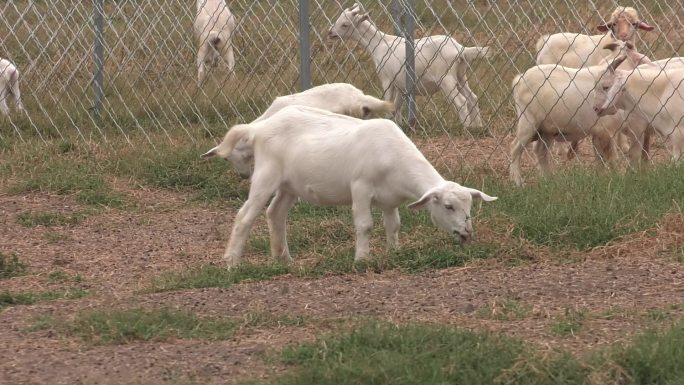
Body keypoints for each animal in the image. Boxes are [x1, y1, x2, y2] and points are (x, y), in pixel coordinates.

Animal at [202, 106, 496, 268]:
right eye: (448, 206)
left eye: (469, 206)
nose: (467, 234)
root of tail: (259, 128)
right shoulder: (361, 187)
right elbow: (365, 225)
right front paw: (362, 259)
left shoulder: (390, 200)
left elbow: (394, 225)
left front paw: (394, 252)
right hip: (266, 176)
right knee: (245, 216)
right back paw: (232, 262)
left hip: (289, 185)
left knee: (275, 213)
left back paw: (283, 259)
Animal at [328, 2, 488, 127]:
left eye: (345, 24)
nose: (330, 33)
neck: (380, 44)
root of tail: (460, 50)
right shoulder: (401, 85)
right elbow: (395, 107)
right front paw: (399, 125)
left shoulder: (387, 80)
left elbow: (388, 102)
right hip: (461, 77)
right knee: (473, 98)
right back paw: (477, 127)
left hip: (446, 79)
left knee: (461, 102)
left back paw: (466, 128)